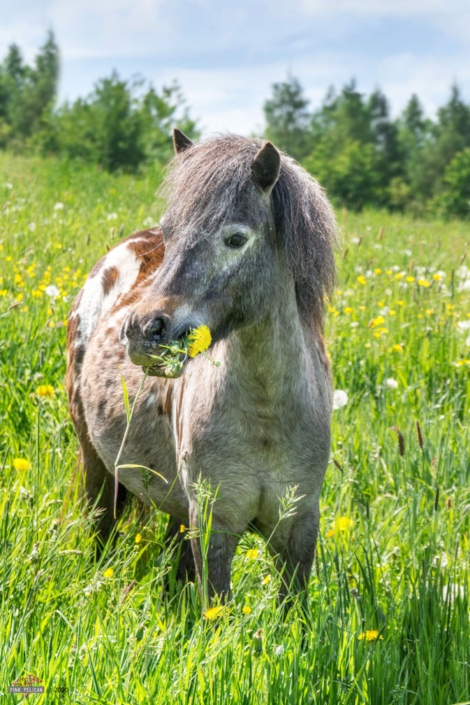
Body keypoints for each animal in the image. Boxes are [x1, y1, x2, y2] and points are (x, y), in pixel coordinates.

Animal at [66, 131, 338, 604]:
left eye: (236, 239)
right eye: (172, 234)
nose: (144, 330)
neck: (267, 416)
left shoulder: (299, 528)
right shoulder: (215, 525)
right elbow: (217, 608)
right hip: (97, 467)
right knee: (101, 532)